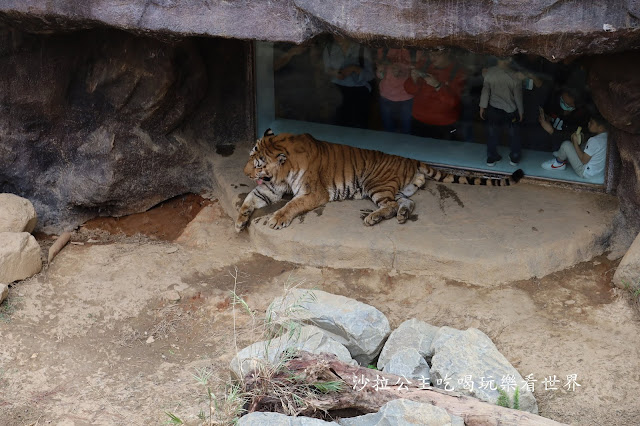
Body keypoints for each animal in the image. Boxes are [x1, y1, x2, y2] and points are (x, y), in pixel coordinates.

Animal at [235, 128, 524, 231]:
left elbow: (291, 205)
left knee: (392, 205)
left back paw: (373, 219)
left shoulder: (314, 192)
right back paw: (402, 217)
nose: (245, 172)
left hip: (375, 183)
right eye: (251, 157)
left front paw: (276, 219)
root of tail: (412, 160)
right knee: (405, 203)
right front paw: (239, 221)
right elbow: (250, 198)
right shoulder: (270, 188)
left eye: (257, 162)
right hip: (395, 189)